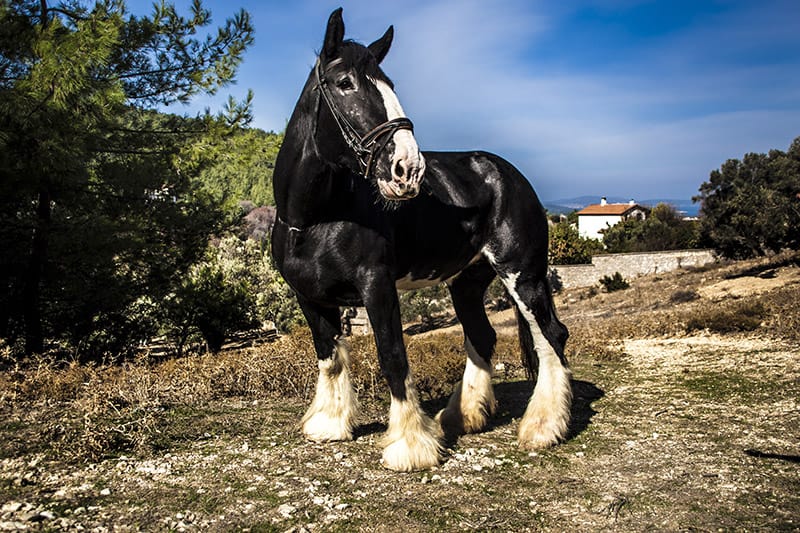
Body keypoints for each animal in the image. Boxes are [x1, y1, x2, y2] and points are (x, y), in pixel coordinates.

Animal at [271, 8, 571, 472]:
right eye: (345, 83)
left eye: (390, 85)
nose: (408, 168)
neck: (315, 218)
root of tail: (507, 174)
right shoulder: (311, 296)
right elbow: (330, 358)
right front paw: (330, 425)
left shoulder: (377, 286)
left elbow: (393, 356)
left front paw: (410, 445)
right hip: (467, 282)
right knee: (482, 336)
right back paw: (462, 416)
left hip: (524, 274)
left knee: (550, 335)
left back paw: (544, 427)